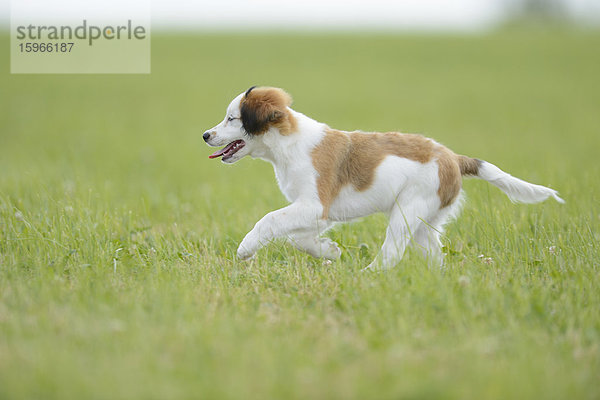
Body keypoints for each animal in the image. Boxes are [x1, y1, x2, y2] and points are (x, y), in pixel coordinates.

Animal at [204, 86, 564, 270]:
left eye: (232, 118)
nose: (206, 135)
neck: (289, 143)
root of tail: (453, 158)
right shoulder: (315, 212)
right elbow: (297, 237)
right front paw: (328, 251)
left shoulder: (314, 205)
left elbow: (268, 220)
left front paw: (246, 249)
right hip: (424, 222)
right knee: (435, 256)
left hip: (407, 211)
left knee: (391, 253)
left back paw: (367, 277)